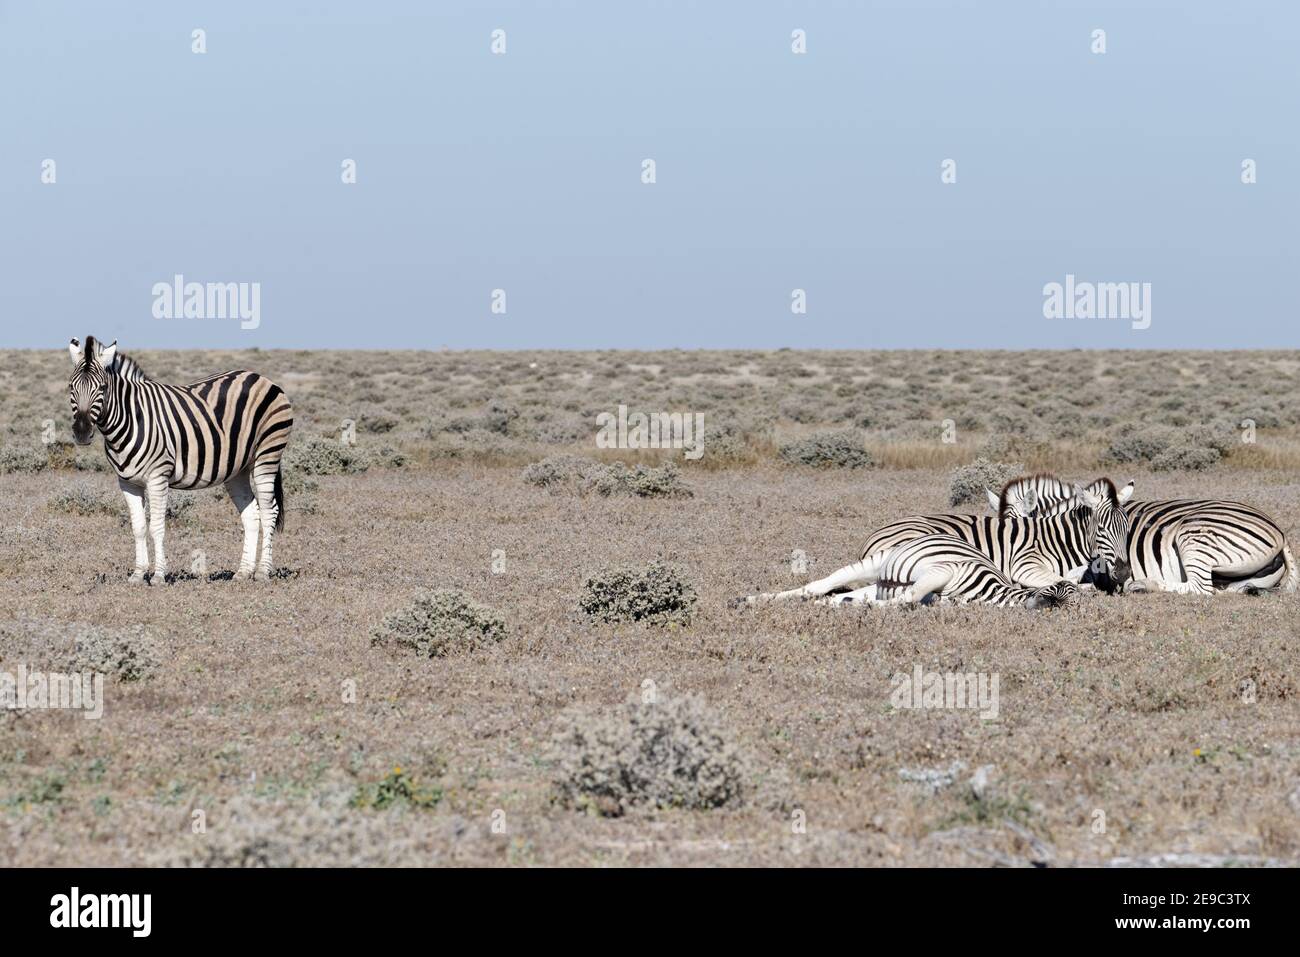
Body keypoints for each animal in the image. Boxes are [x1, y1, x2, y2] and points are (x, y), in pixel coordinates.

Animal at [66, 335, 295, 582]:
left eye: (102, 387)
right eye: (71, 387)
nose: (82, 432)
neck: (132, 419)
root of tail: (260, 377)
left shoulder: (158, 477)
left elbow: (156, 527)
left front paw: (158, 576)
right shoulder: (127, 483)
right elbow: (138, 528)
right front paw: (138, 574)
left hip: (267, 454)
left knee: (269, 511)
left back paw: (262, 572)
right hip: (238, 469)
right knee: (252, 514)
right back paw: (243, 572)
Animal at [821, 535, 1076, 608]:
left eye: (1066, 606)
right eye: (1055, 588)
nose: (1047, 604)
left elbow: (914, 597)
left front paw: (855, 604)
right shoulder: (946, 569)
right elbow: (910, 596)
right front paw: (868, 607)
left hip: (880, 582)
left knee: (847, 591)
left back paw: (829, 602)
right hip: (881, 559)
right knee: (834, 577)